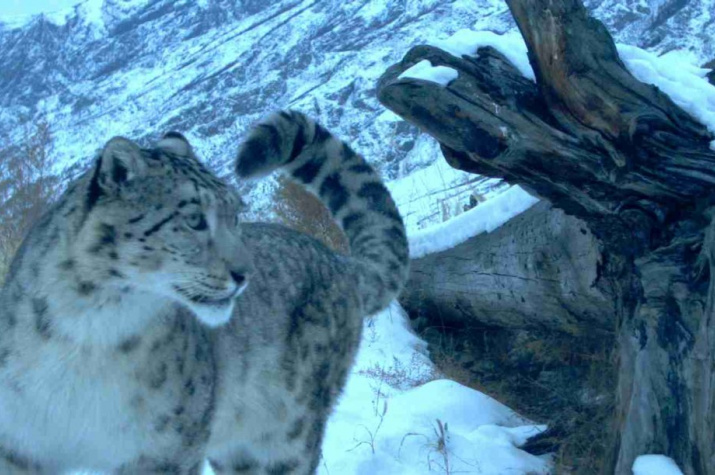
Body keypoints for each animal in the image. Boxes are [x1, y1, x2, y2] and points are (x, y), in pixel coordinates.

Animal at [0, 110, 408, 472]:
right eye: (194, 219)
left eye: (236, 214)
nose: (245, 274)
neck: (88, 331)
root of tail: (339, 260)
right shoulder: (18, 445)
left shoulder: (166, 449)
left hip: (288, 430)